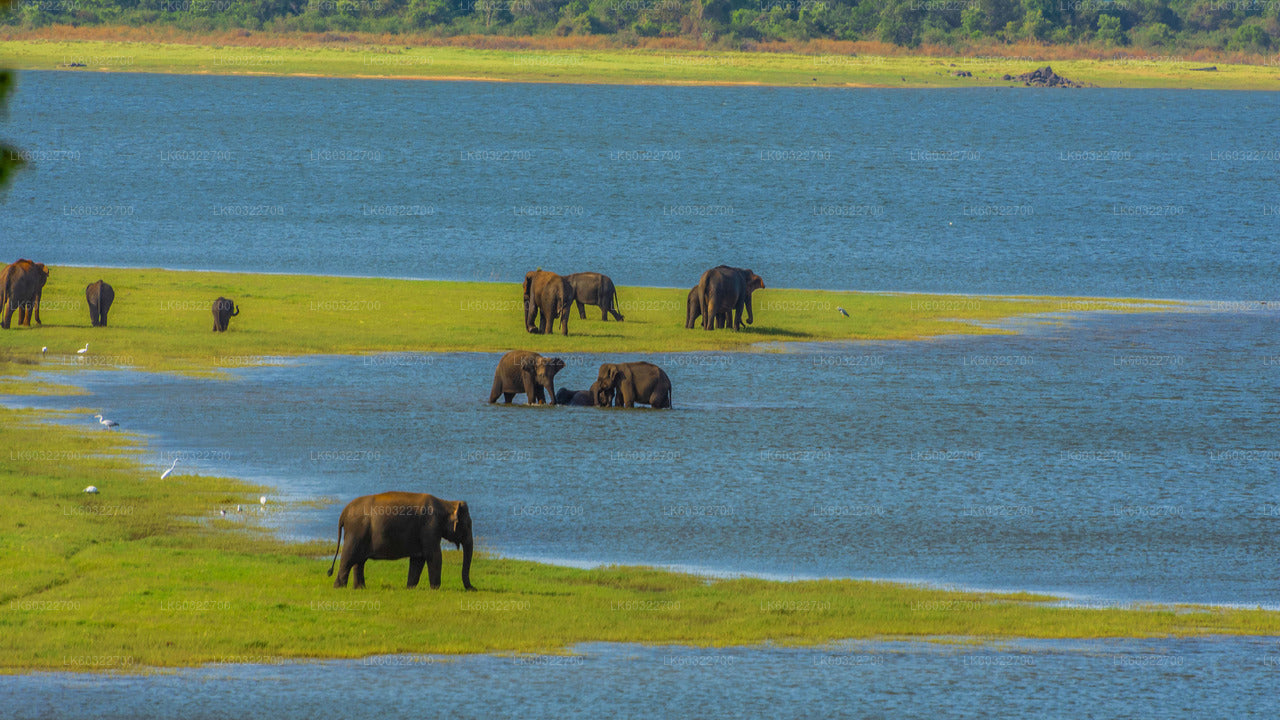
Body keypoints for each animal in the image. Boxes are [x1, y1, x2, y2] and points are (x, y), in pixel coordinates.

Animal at [325, 489, 476, 591]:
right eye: (468, 525)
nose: (474, 588)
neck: (446, 503)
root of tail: (343, 513)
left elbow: (418, 559)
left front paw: (410, 588)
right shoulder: (430, 527)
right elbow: (434, 555)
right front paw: (435, 588)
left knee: (359, 562)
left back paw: (360, 588)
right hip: (355, 532)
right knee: (348, 558)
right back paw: (339, 587)